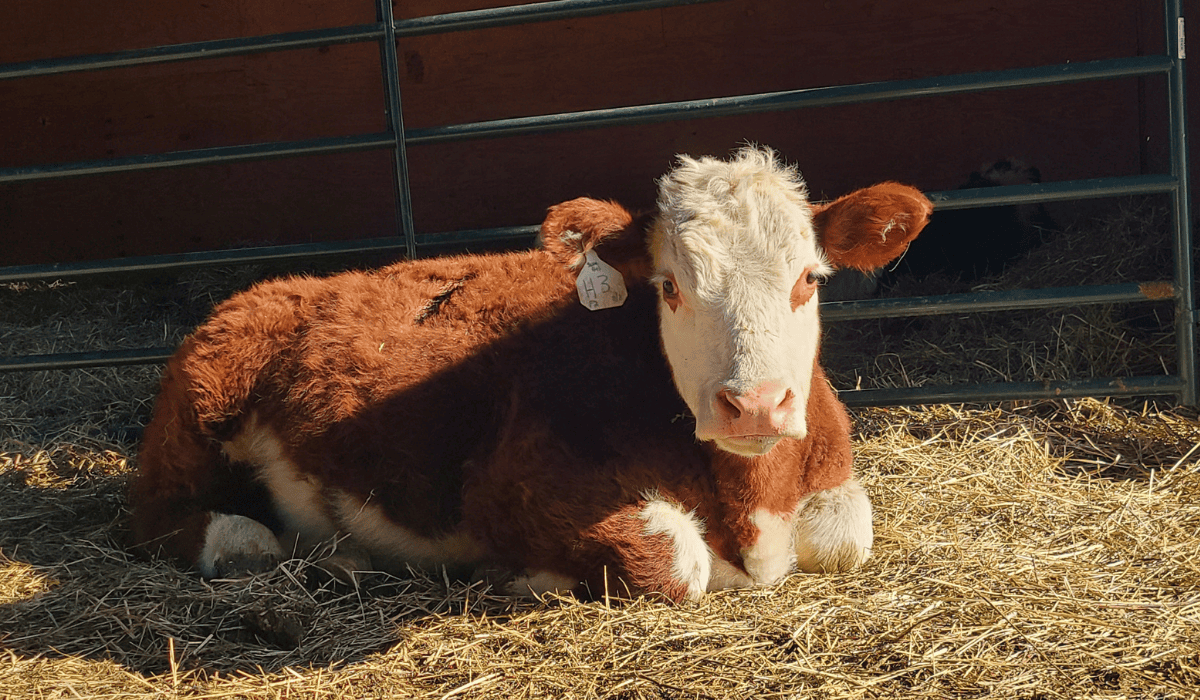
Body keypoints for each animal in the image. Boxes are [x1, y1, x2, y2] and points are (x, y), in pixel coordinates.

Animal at [130, 146, 932, 602]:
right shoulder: (508, 484)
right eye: (670, 287)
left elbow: (846, 533)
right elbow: (678, 559)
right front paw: (525, 575)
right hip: (200, 399)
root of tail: (279, 285)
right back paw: (246, 546)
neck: (750, 499)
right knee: (156, 514)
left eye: (809, 279)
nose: (757, 405)